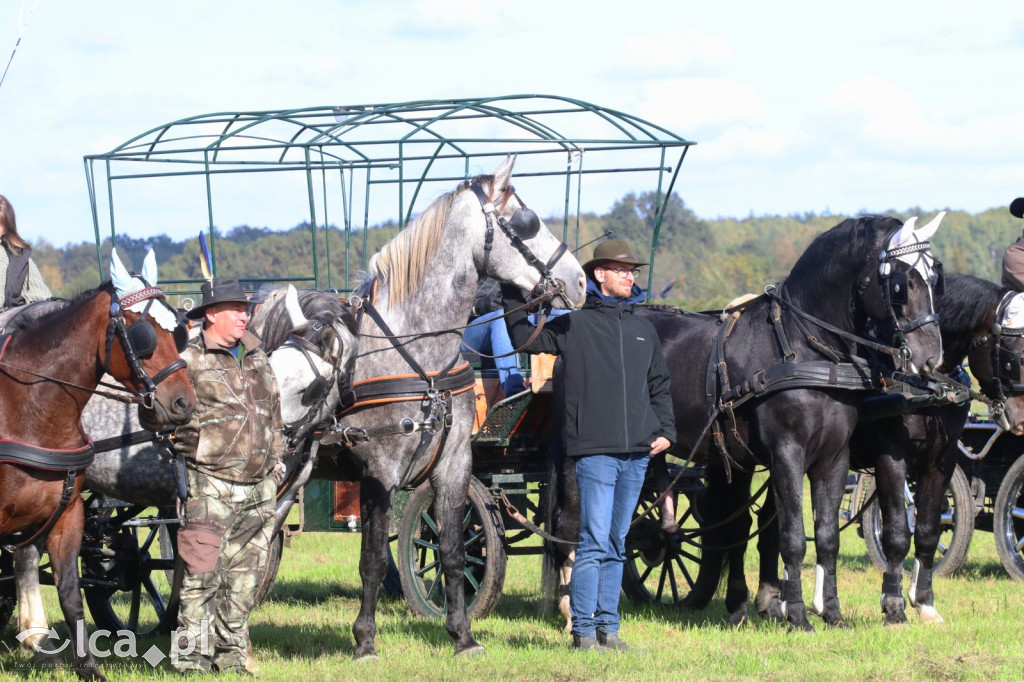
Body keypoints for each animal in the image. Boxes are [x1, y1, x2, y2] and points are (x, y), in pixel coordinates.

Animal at [0, 246, 193, 675]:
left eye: (179, 330)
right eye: (142, 334)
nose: (183, 404)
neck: (28, 410)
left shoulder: (66, 512)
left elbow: (71, 593)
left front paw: (88, 668)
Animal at [544, 214, 942, 630]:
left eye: (936, 277)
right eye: (901, 284)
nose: (931, 359)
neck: (805, 347)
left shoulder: (833, 459)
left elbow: (826, 536)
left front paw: (831, 613)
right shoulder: (787, 454)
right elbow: (792, 537)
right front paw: (798, 616)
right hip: (580, 457)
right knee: (572, 523)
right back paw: (571, 611)